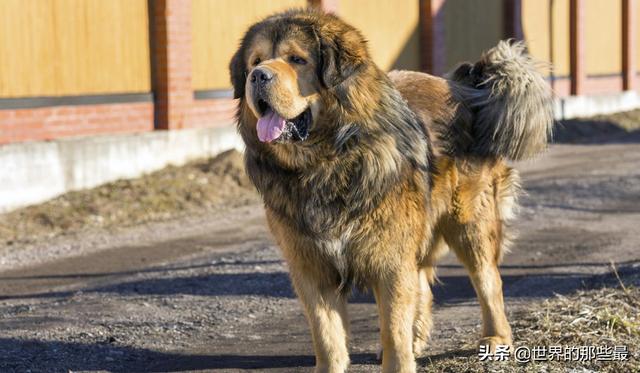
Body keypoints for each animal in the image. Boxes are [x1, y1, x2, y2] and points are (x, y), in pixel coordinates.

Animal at [229, 8, 552, 372]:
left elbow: (393, 329)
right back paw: (419, 339)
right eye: (256, 61)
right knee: (424, 284)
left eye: (296, 59)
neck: (325, 163)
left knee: (488, 282)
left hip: (470, 225)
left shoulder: (389, 260)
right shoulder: (311, 267)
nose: (257, 76)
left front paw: (399, 357)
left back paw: (496, 338)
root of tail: (461, 88)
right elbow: (327, 337)